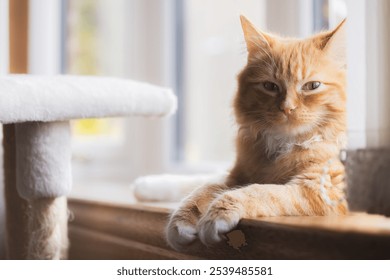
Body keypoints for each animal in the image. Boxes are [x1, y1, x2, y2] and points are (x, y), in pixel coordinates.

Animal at [167, 15, 348, 252]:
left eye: (312, 86)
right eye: (270, 86)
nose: (287, 108)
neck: (282, 145)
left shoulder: (320, 189)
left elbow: (259, 192)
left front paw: (216, 215)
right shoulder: (236, 175)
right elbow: (203, 191)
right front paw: (181, 221)